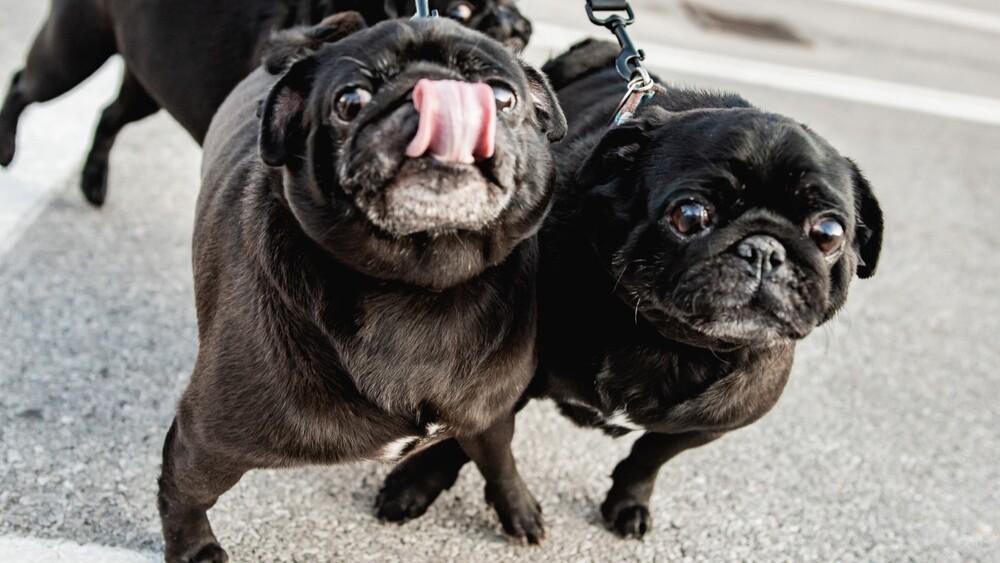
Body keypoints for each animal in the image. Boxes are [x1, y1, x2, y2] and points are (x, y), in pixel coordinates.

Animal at [0, 0, 532, 207]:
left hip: (143, 88)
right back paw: (6, 151)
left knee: (109, 116)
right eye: (462, 10)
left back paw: (94, 183)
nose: (520, 24)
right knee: (25, 84)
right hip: (73, 53)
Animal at [156, 16, 564, 563]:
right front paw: (193, 549)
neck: (419, 294)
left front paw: (516, 508)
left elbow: (499, 460)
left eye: (503, 96)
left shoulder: (489, 413)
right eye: (349, 102)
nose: (433, 90)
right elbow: (185, 494)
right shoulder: (208, 441)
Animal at [376, 39, 884, 540]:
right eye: (689, 215)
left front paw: (627, 501)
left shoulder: (704, 426)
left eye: (829, 233)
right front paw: (417, 483)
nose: (763, 248)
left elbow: (649, 456)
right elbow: (471, 444)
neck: (667, 341)